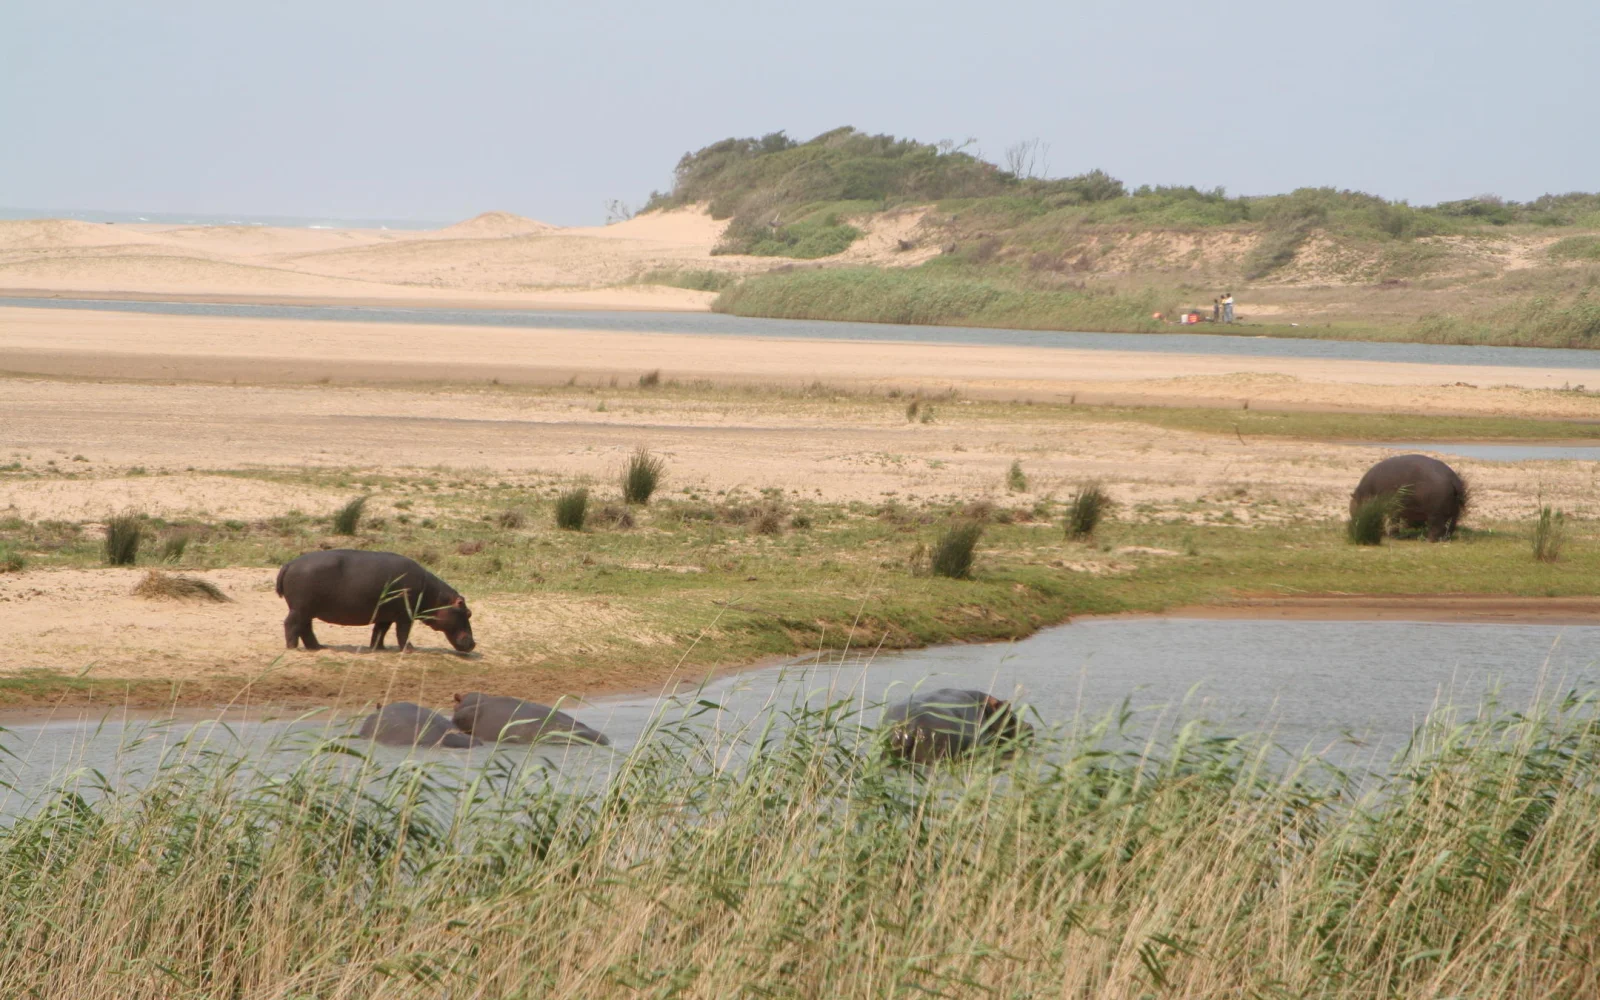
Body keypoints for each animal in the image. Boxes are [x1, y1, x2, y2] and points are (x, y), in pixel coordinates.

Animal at [276, 550, 475, 652]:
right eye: (468, 613)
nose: (474, 644)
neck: (435, 596)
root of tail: (289, 564)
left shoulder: (386, 615)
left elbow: (380, 631)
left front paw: (378, 648)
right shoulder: (405, 616)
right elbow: (403, 633)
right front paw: (409, 649)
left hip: (306, 610)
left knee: (305, 627)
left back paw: (317, 647)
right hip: (300, 608)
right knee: (291, 624)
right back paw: (293, 648)